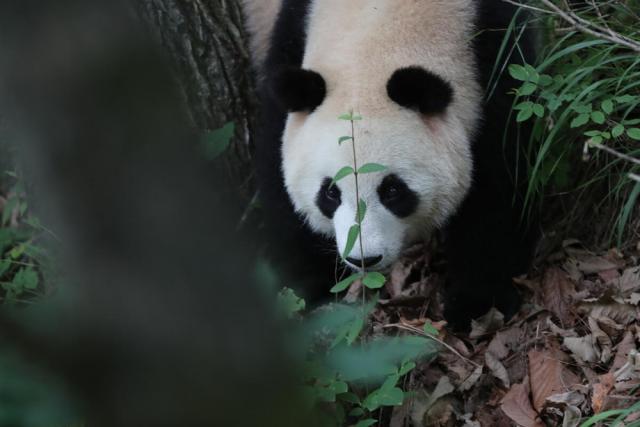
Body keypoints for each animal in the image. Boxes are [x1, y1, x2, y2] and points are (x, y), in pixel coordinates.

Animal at [242, 0, 538, 328]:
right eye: (330, 192)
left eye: (393, 190)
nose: (364, 259)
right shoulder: (293, 35)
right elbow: (278, 175)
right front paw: (303, 289)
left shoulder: (493, 49)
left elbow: (500, 182)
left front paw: (476, 303)